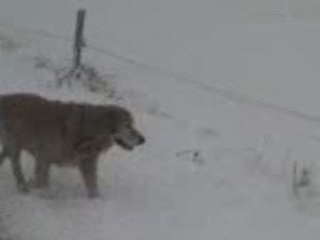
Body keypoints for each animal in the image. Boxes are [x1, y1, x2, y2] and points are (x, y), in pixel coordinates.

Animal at [0, 94, 145, 199]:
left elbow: (93, 188)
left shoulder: (87, 164)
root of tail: (5, 97)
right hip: (14, 145)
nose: (143, 140)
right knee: (16, 168)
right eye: (127, 125)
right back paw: (23, 187)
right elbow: (41, 181)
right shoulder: (44, 158)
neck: (91, 131)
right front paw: (41, 193)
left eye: (132, 124)